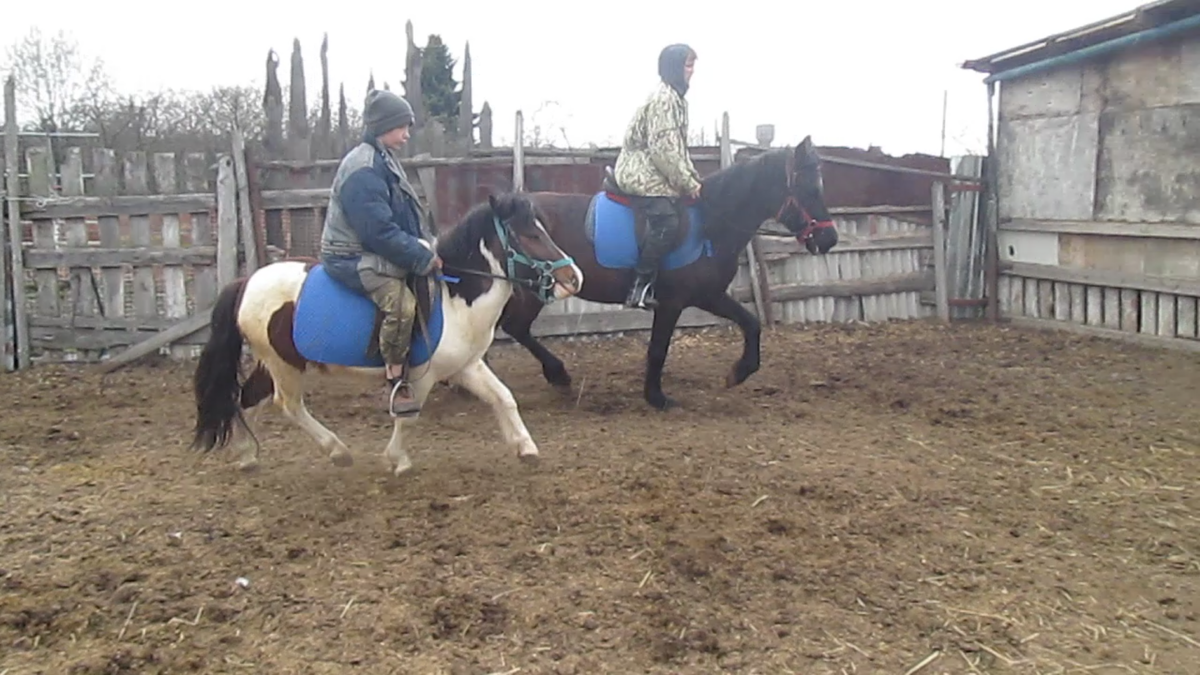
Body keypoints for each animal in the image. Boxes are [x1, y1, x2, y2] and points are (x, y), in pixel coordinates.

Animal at [188, 189, 580, 473]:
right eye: (530, 234)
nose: (573, 278)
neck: (453, 297)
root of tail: (245, 281)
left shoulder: (466, 366)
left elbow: (503, 397)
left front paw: (526, 448)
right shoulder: (422, 374)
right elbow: (411, 415)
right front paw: (398, 460)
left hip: (273, 363)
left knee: (246, 399)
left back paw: (246, 454)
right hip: (284, 365)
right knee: (288, 405)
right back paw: (337, 451)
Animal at [496, 135, 835, 408]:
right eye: (808, 189)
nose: (830, 239)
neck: (709, 223)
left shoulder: (709, 296)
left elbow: (751, 324)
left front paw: (738, 372)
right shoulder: (672, 302)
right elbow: (658, 349)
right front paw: (656, 398)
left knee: (512, 326)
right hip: (535, 288)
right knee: (515, 326)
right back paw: (557, 374)